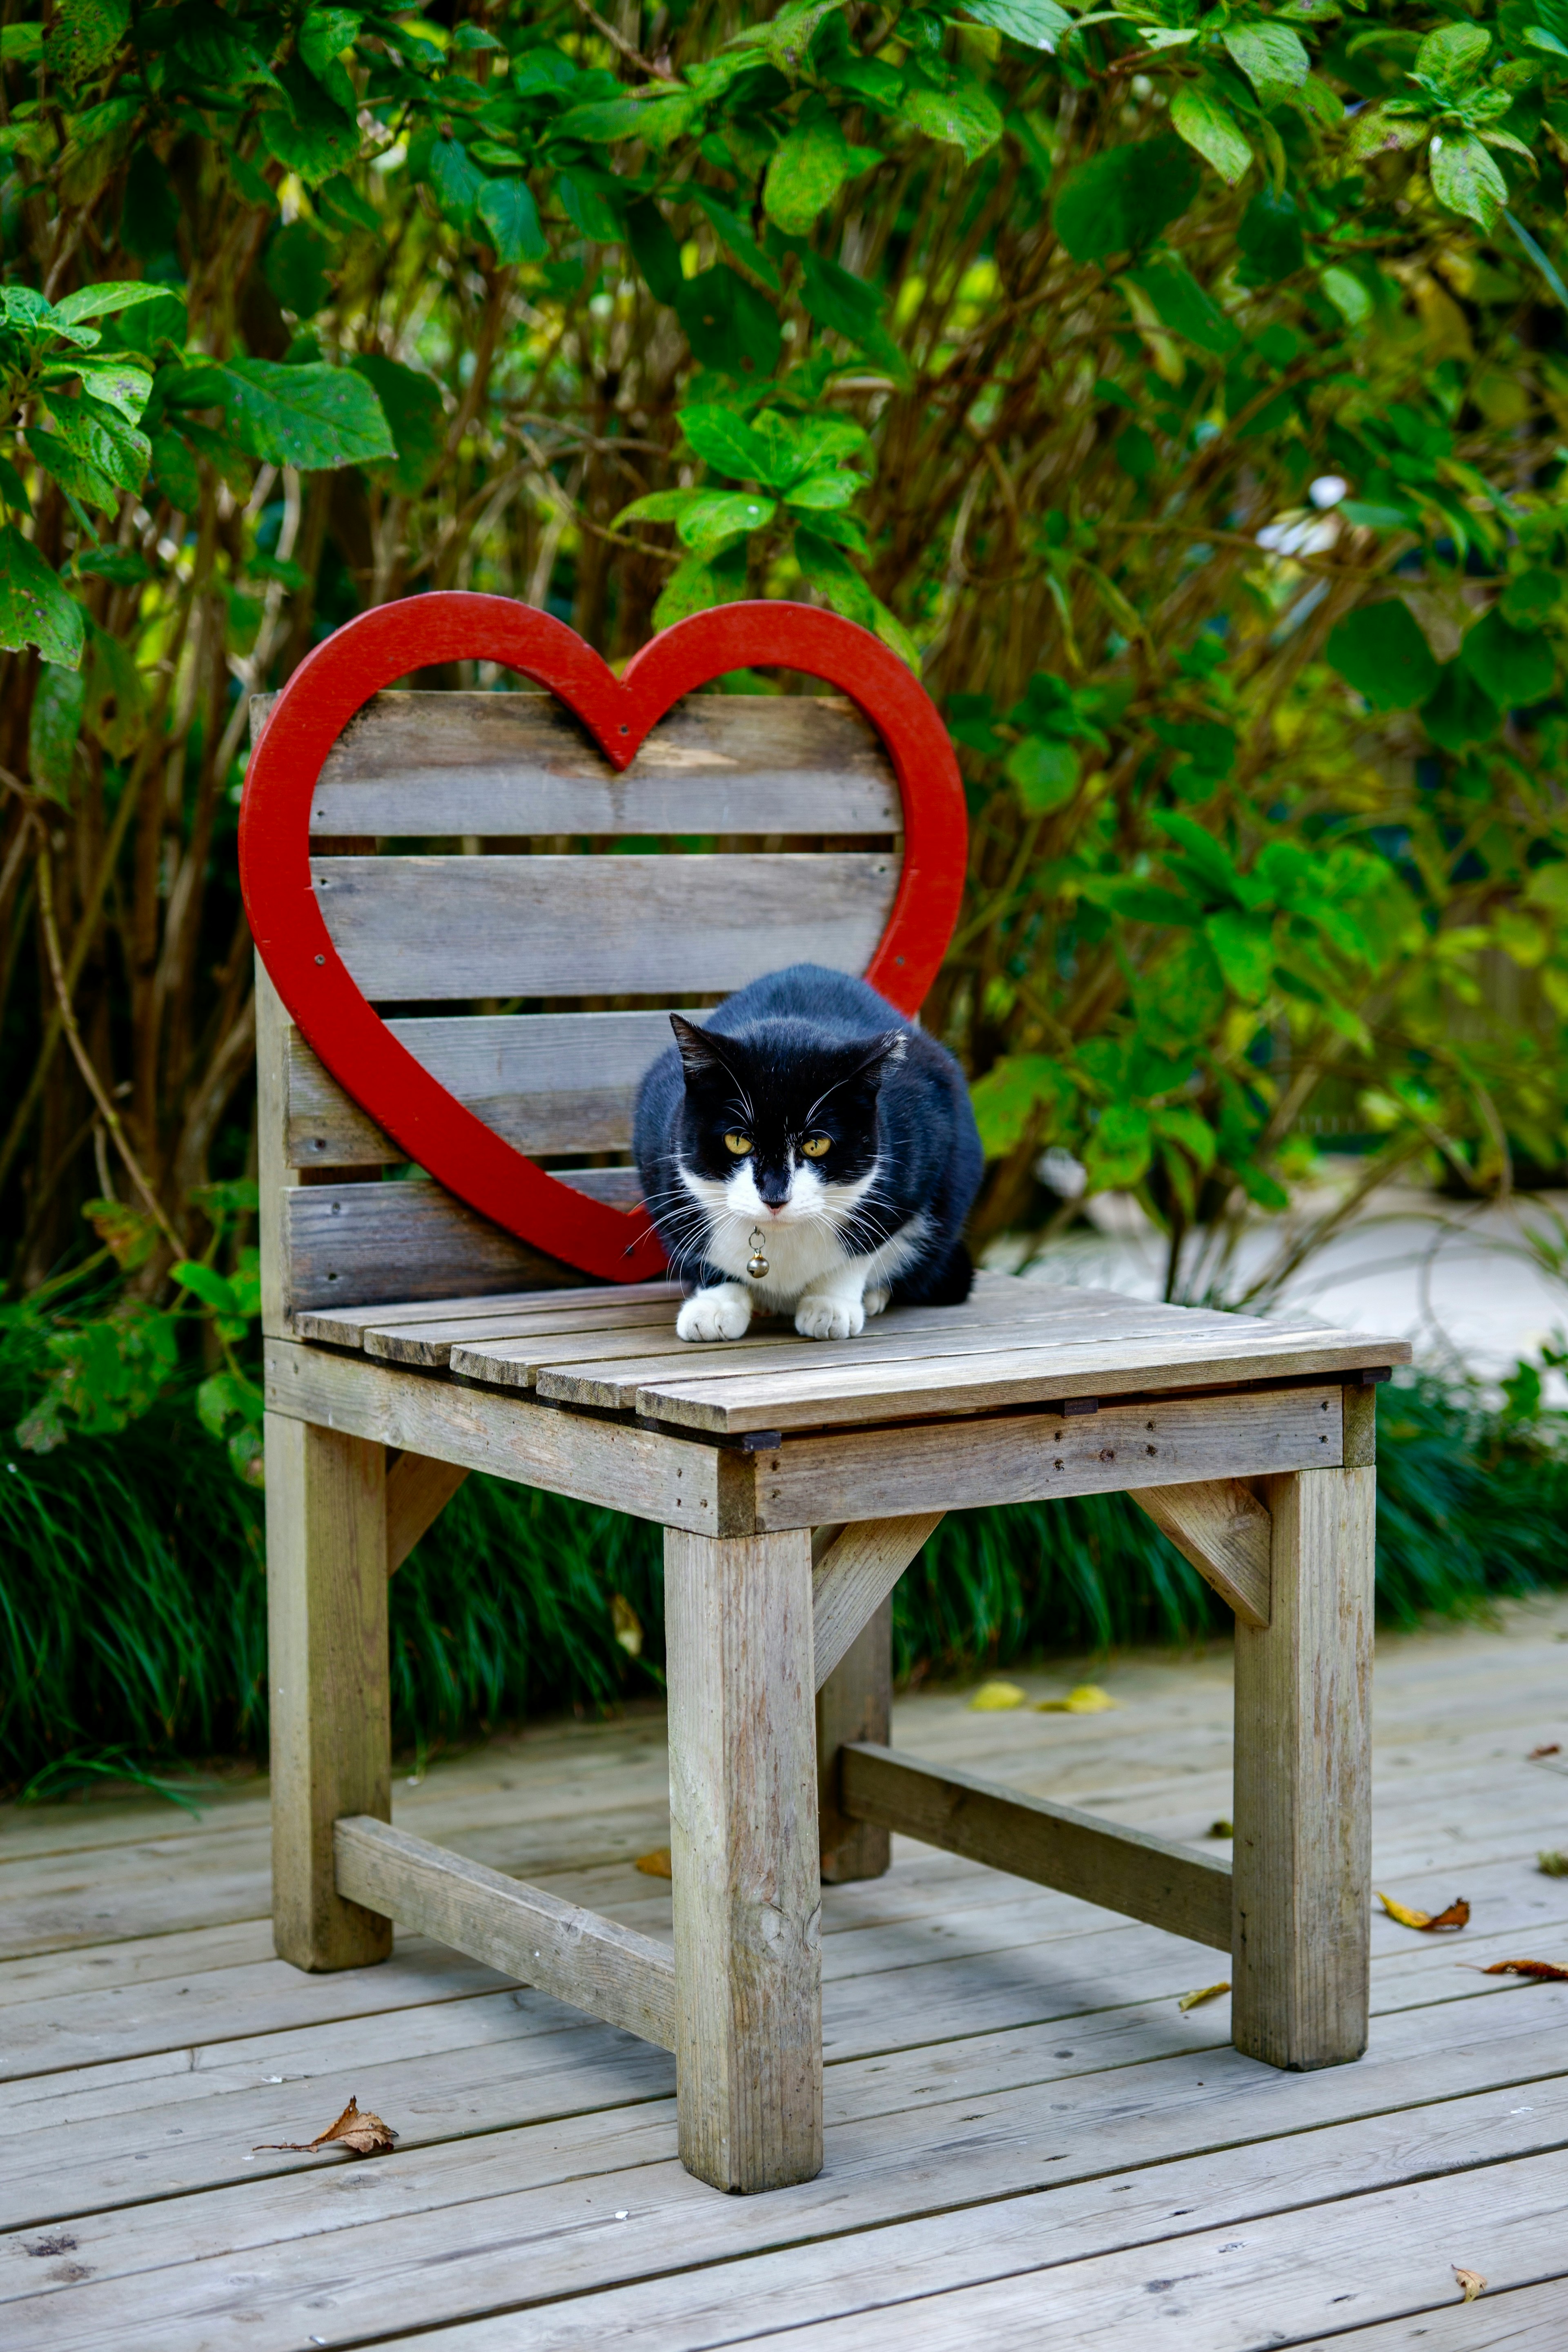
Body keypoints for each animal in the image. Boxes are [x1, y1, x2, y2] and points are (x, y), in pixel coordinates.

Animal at [630, 964, 982, 1345]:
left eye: (815, 1145)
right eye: (738, 1141)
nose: (774, 1197)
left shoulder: (922, 1142)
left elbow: (865, 1243)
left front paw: (831, 1305)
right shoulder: (658, 1155)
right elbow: (696, 1245)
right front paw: (715, 1304)